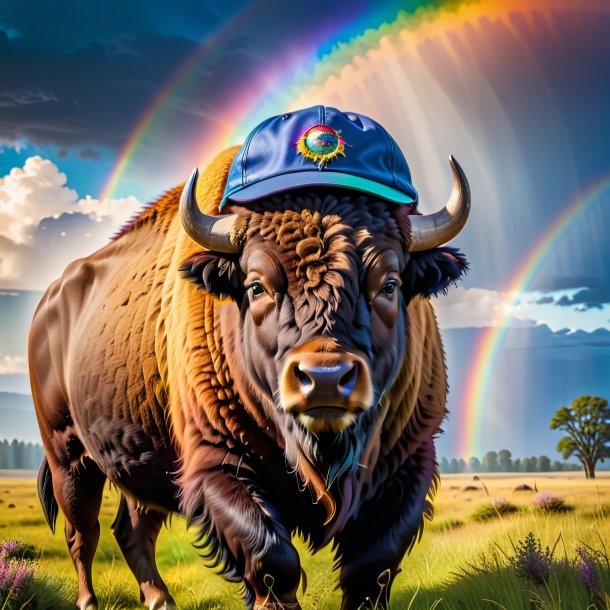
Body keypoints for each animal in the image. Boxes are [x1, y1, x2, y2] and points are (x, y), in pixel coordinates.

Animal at [29, 111, 470, 604]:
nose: (325, 378)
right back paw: (89, 601)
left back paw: (161, 599)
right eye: (256, 285)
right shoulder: (216, 462)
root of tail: (52, 298)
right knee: (82, 531)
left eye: (390, 283)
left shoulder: (410, 464)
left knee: (132, 528)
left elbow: (371, 567)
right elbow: (270, 558)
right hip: (68, 454)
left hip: (140, 456)